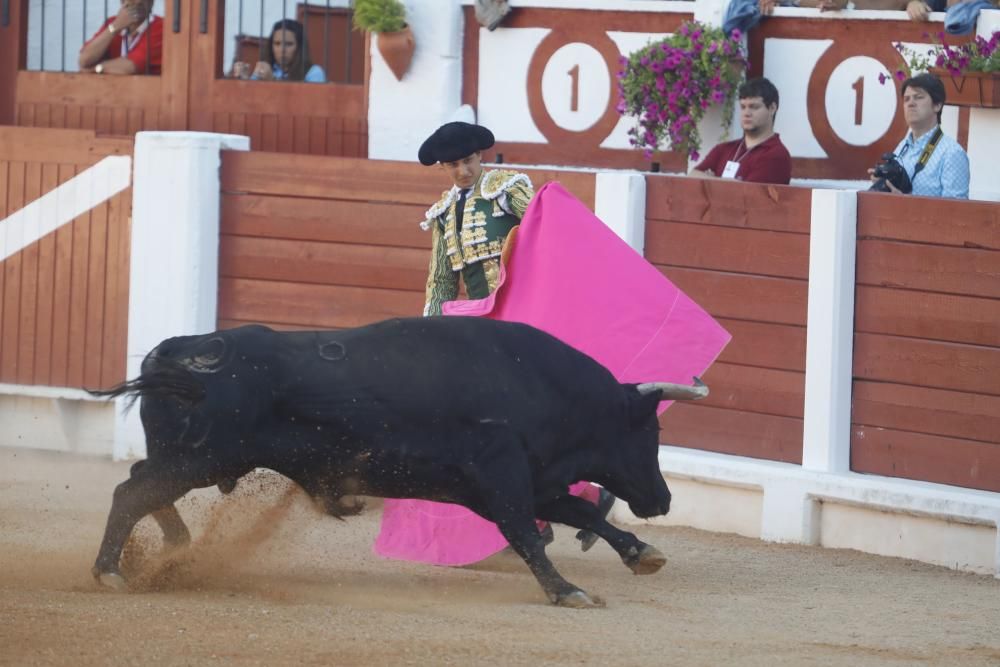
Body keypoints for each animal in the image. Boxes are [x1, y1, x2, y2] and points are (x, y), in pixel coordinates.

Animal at [90, 316, 708, 608]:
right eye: (649, 430)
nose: (663, 499)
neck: (543, 387)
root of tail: (174, 352)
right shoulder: (502, 477)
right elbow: (530, 534)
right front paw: (567, 591)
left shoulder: (520, 482)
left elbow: (580, 514)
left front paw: (642, 553)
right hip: (198, 457)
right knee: (131, 492)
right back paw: (111, 573)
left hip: (184, 456)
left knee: (142, 487)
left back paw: (172, 551)